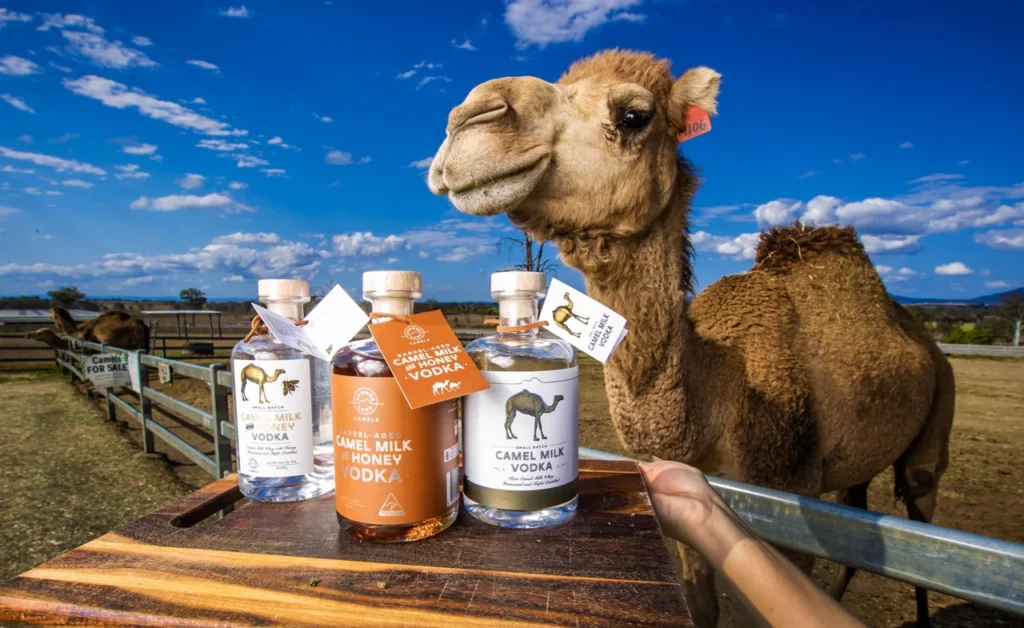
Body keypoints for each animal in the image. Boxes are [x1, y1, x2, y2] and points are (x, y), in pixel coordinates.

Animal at [427, 49, 953, 628]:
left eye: (634, 115)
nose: (471, 117)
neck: (721, 398)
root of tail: (927, 344)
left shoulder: (792, 497)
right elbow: (700, 597)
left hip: (936, 420)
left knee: (922, 510)